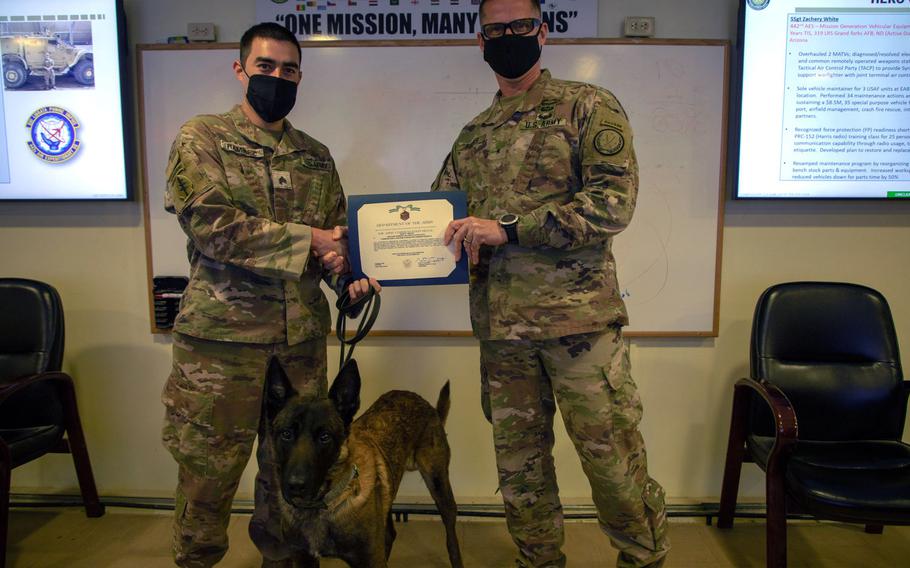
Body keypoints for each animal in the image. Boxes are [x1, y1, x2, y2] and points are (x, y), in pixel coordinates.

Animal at [253, 360, 464, 568]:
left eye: (325, 437)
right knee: (390, 533)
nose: (296, 485)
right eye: (286, 434)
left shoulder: (370, 559)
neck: (321, 507)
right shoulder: (303, 559)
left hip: (438, 483)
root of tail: (425, 404)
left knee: (451, 533)